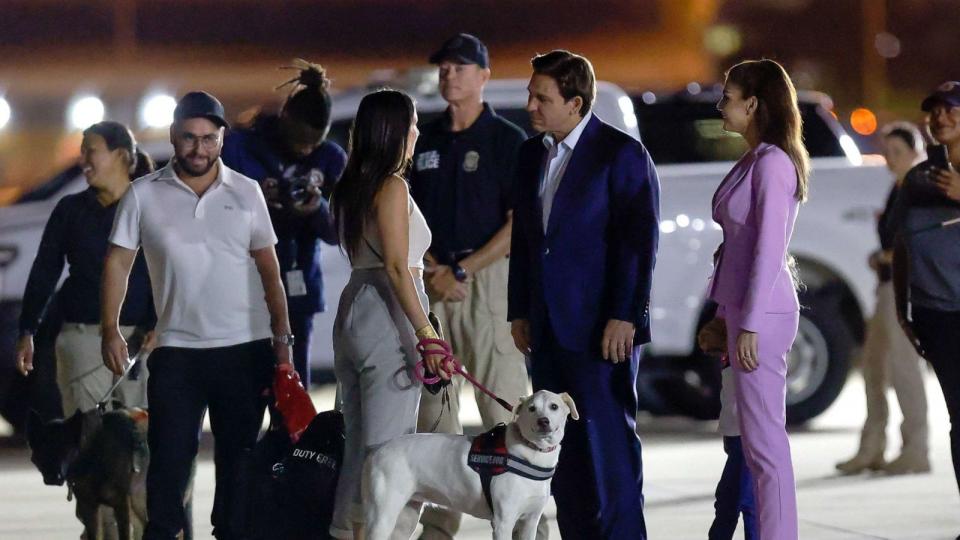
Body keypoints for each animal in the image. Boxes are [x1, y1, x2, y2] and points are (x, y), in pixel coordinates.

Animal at [364, 390, 580, 536]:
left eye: (554, 406)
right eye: (531, 408)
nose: (543, 421)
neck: (532, 452)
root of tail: (378, 449)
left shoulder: (530, 522)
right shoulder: (503, 523)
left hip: (405, 519)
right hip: (382, 519)